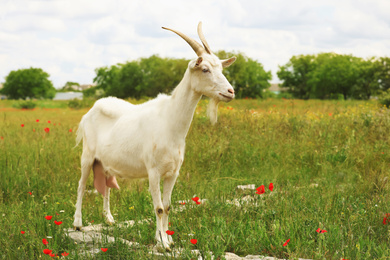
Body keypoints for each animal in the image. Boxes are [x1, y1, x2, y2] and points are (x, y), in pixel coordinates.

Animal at [73, 22, 236, 250]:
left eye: (221, 68)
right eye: (205, 69)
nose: (230, 92)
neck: (169, 121)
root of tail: (90, 111)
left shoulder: (173, 172)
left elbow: (167, 206)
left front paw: (169, 238)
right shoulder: (153, 171)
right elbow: (158, 208)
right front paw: (162, 243)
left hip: (105, 162)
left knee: (106, 186)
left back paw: (109, 219)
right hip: (87, 155)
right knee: (80, 185)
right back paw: (78, 223)